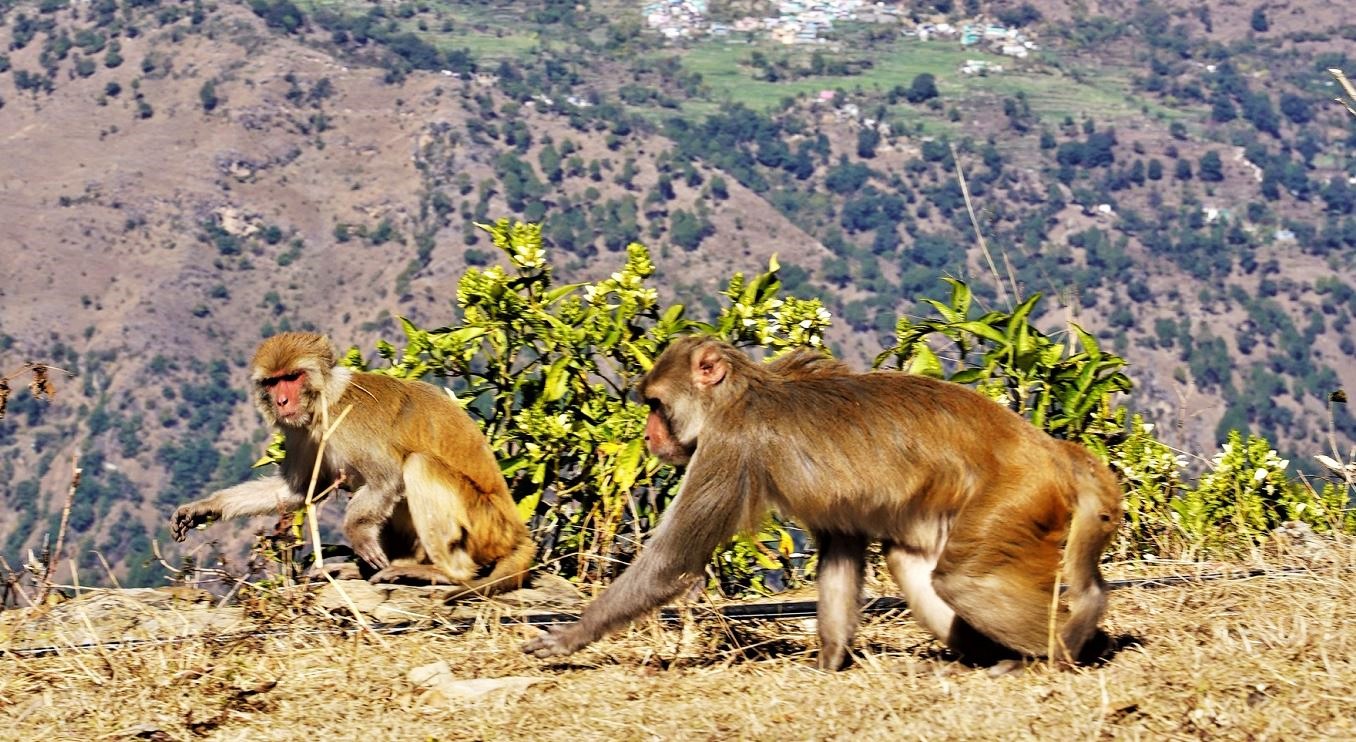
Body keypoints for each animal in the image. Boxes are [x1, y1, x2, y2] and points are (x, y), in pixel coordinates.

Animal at [174, 332, 539, 596]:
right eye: (273, 381)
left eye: (292, 377)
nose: (282, 401)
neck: (325, 400)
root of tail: (516, 531)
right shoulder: (300, 432)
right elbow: (299, 492)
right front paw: (206, 506)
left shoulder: (349, 421)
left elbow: (387, 478)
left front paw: (357, 534)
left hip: (484, 526)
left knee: (416, 464)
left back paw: (443, 572)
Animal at [523, 336, 1128, 672]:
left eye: (655, 405)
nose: (649, 436)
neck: (739, 394)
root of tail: (1046, 446)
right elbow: (840, 550)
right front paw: (830, 659)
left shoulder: (729, 447)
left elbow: (672, 563)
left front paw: (568, 637)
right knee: (914, 563)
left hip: (1014, 496)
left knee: (965, 582)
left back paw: (1064, 649)